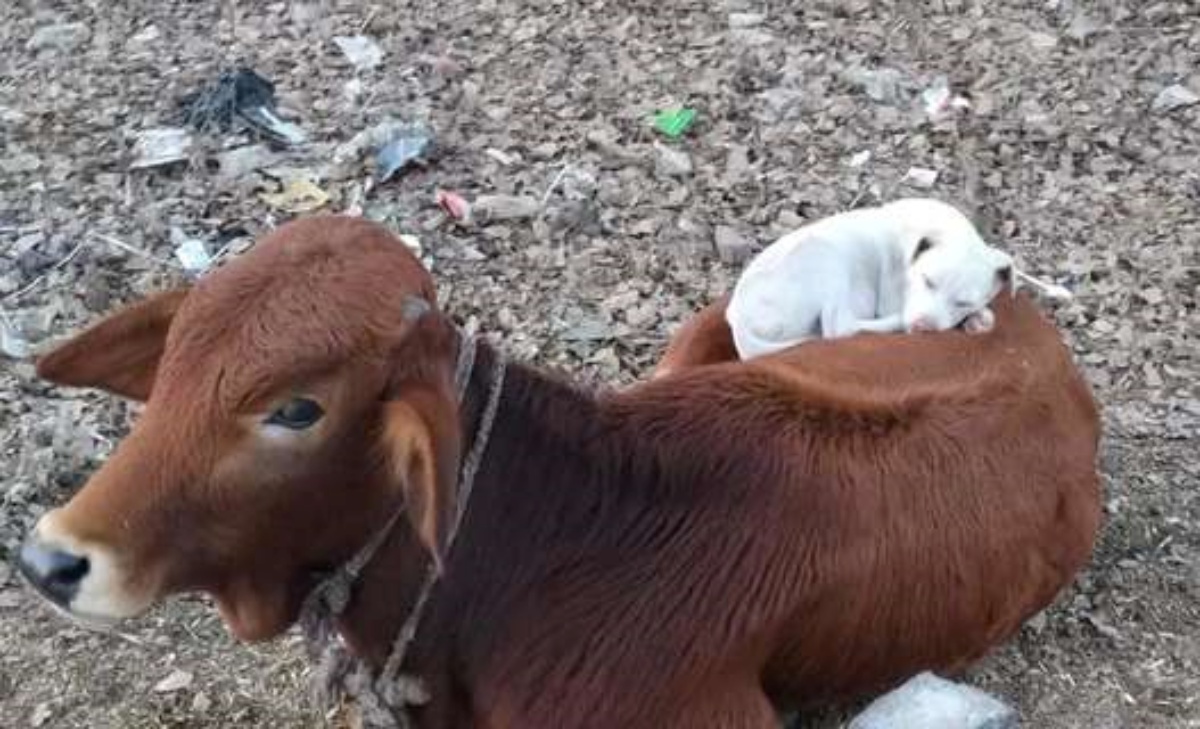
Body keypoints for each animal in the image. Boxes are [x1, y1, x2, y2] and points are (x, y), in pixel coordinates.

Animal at [720, 197, 1012, 359]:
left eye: (963, 303)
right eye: (928, 281)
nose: (923, 328)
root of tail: (739, 321)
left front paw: (977, 319)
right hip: (824, 255)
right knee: (838, 328)